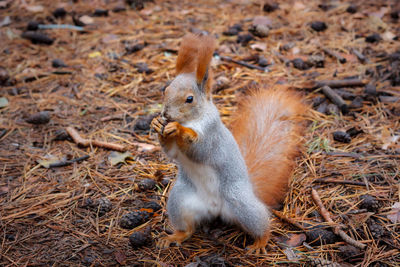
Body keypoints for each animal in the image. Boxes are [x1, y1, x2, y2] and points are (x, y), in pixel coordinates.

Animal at [151, 34, 306, 255]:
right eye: (166, 89)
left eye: (189, 99)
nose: (166, 114)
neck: (192, 120)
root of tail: (215, 208)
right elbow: (171, 151)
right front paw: (157, 124)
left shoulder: (212, 134)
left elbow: (201, 149)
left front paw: (179, 130)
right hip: (179, 201)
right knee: (187, 227)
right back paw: (175, 236)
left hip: (240, 202)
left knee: (261, 222)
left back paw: (261, 241)